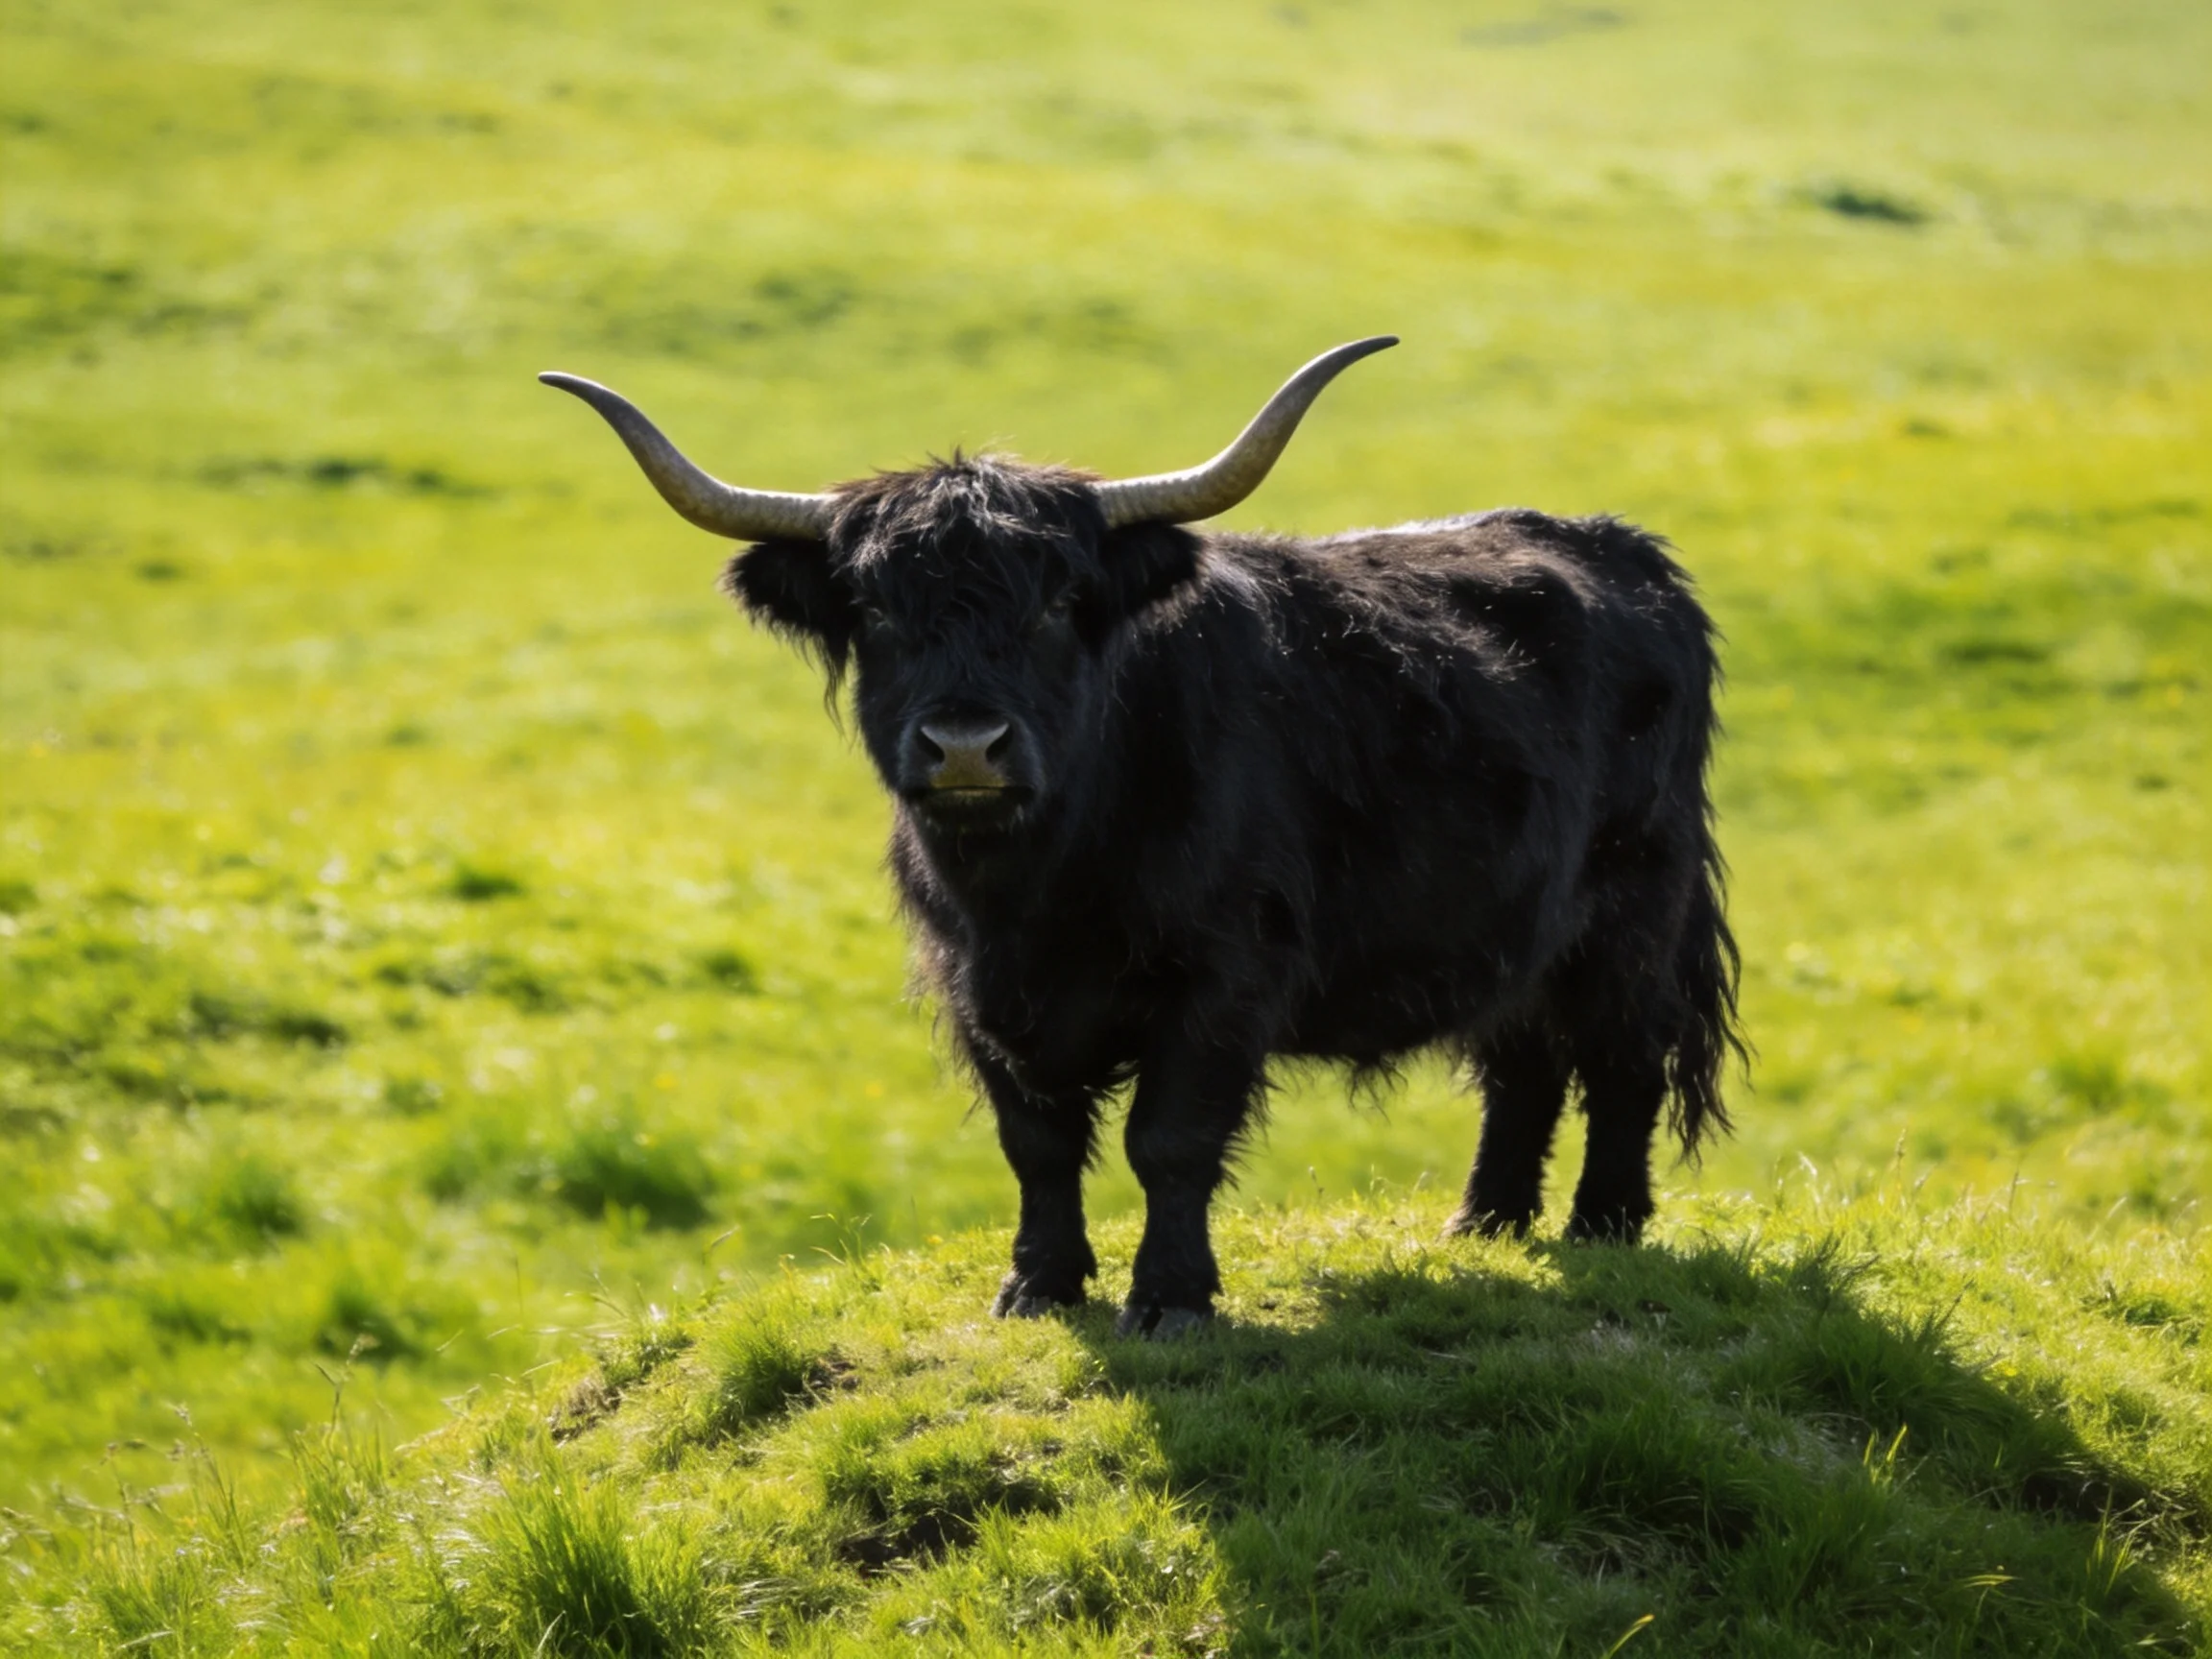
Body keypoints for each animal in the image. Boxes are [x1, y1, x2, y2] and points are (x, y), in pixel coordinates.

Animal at [541, 338, 1743, 1338]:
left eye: (1054, 604)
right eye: (876, 612)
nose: (967, 744)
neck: (1040, 888)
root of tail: (1626, 553)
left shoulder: (1221, 978)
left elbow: (1167, 1140)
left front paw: (1168, 1299)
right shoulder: (978, 989)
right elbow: (1036, 1141)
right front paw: (1039, 1285)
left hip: (1634, 912)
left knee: (1620, 1059)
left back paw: (1603, 1227)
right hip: (1514, 927)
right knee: (1522, 1064)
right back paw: (1484, 1225)